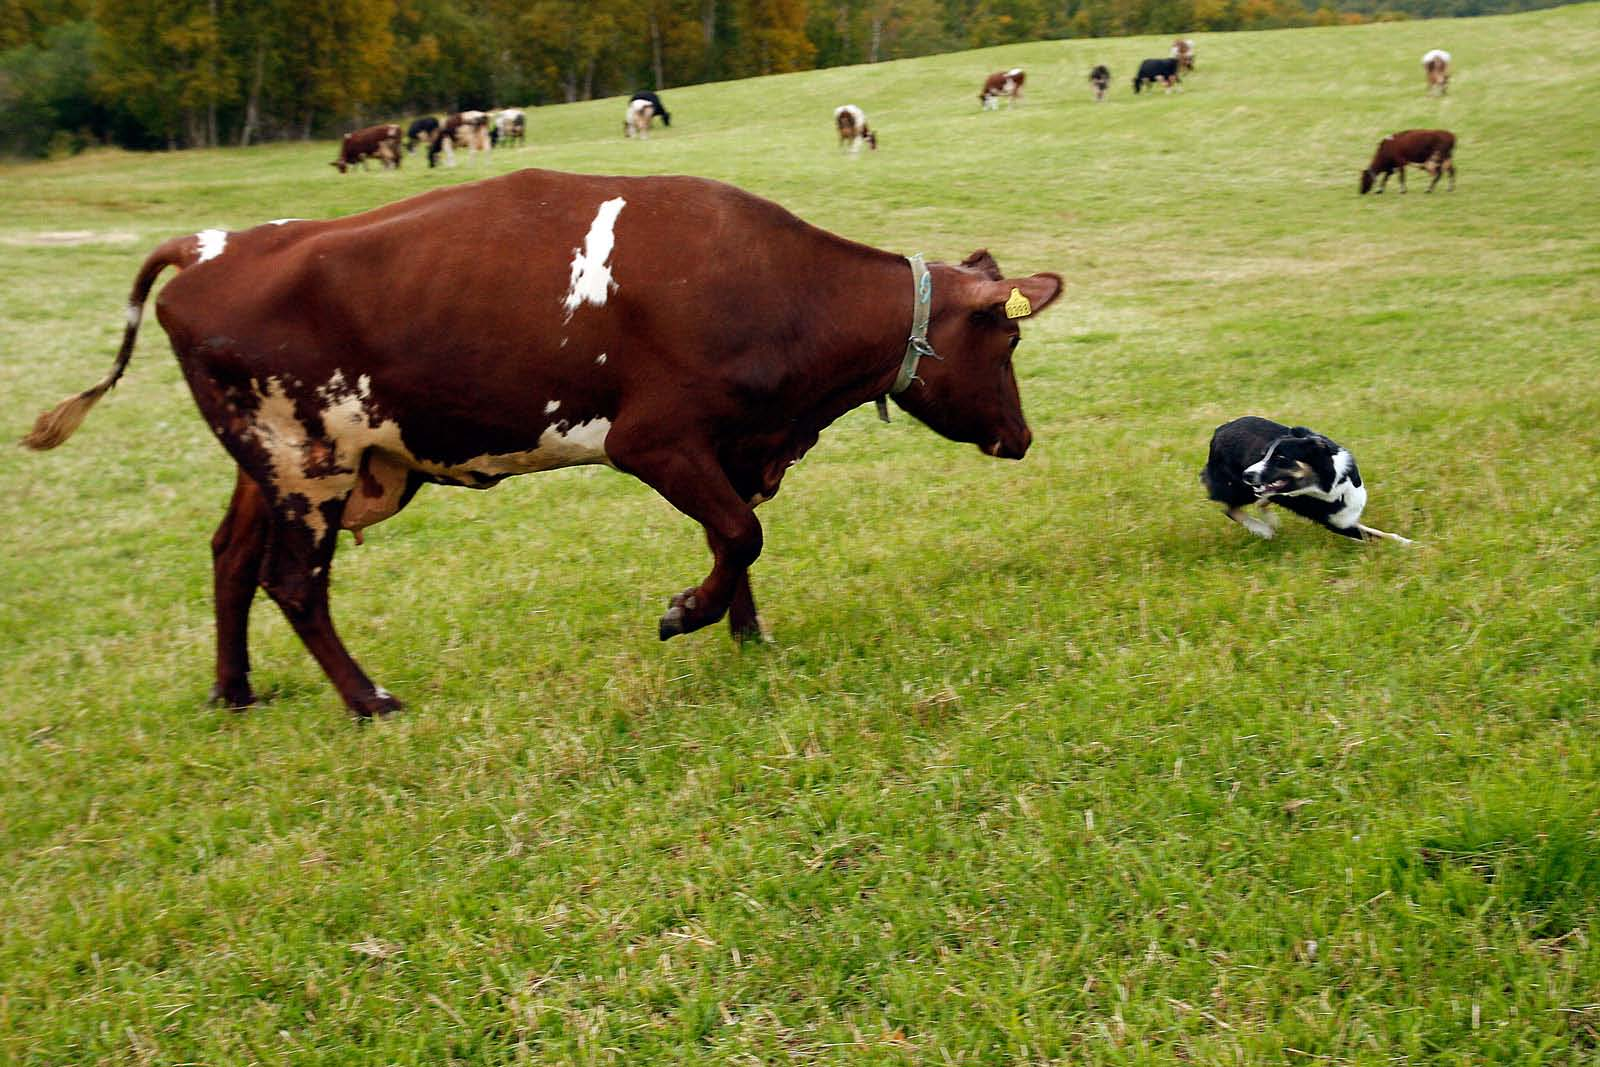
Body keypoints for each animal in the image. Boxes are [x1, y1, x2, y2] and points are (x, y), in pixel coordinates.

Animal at [21, 167, 1062, 716]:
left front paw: (745, 630)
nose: (1020, 436)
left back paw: (233, 690)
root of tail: (216, 245)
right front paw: (688, 614)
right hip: (307, 460)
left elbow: (734, 537)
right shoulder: (655, 440)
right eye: (1008, 339)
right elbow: (740, 533)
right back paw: (369, 700)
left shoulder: (727, 450)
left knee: (231, 558)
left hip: (270, 463)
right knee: (292, 581)